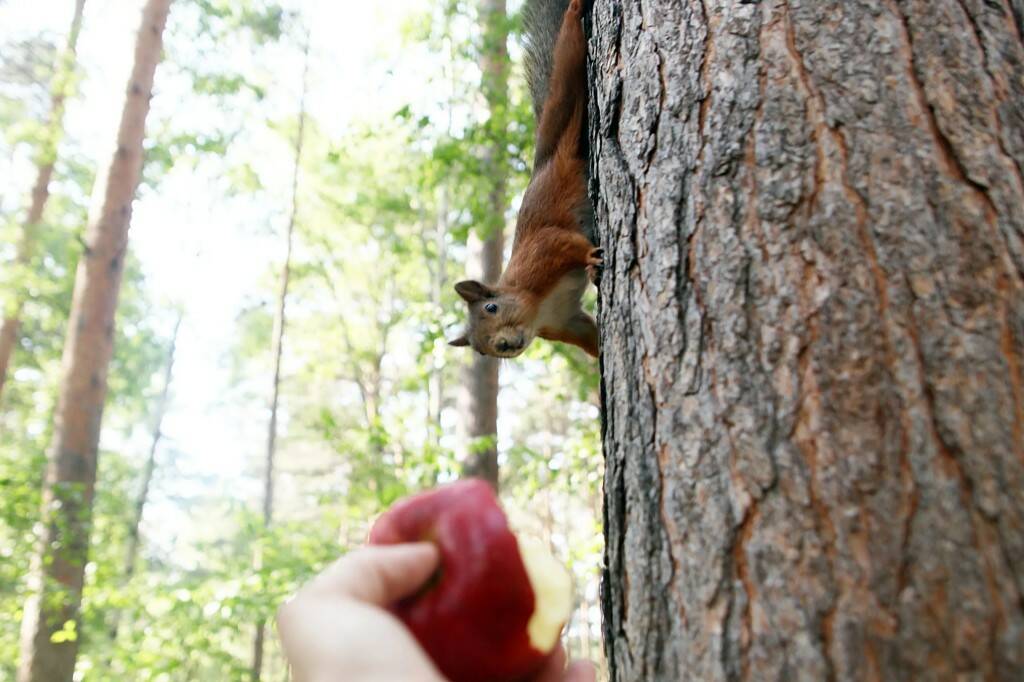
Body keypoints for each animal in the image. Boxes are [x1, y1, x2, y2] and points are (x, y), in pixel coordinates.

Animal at [448, 0, 598, 358]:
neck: (537, 306)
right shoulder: (565, 322)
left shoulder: (544, 253)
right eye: (481, 350)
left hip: (562, 111)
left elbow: (568, 241)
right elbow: (591, 335)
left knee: (567, 66)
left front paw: (590, 258)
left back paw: (574, 12)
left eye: (491, 307)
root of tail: (542, 162)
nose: (503, 344)